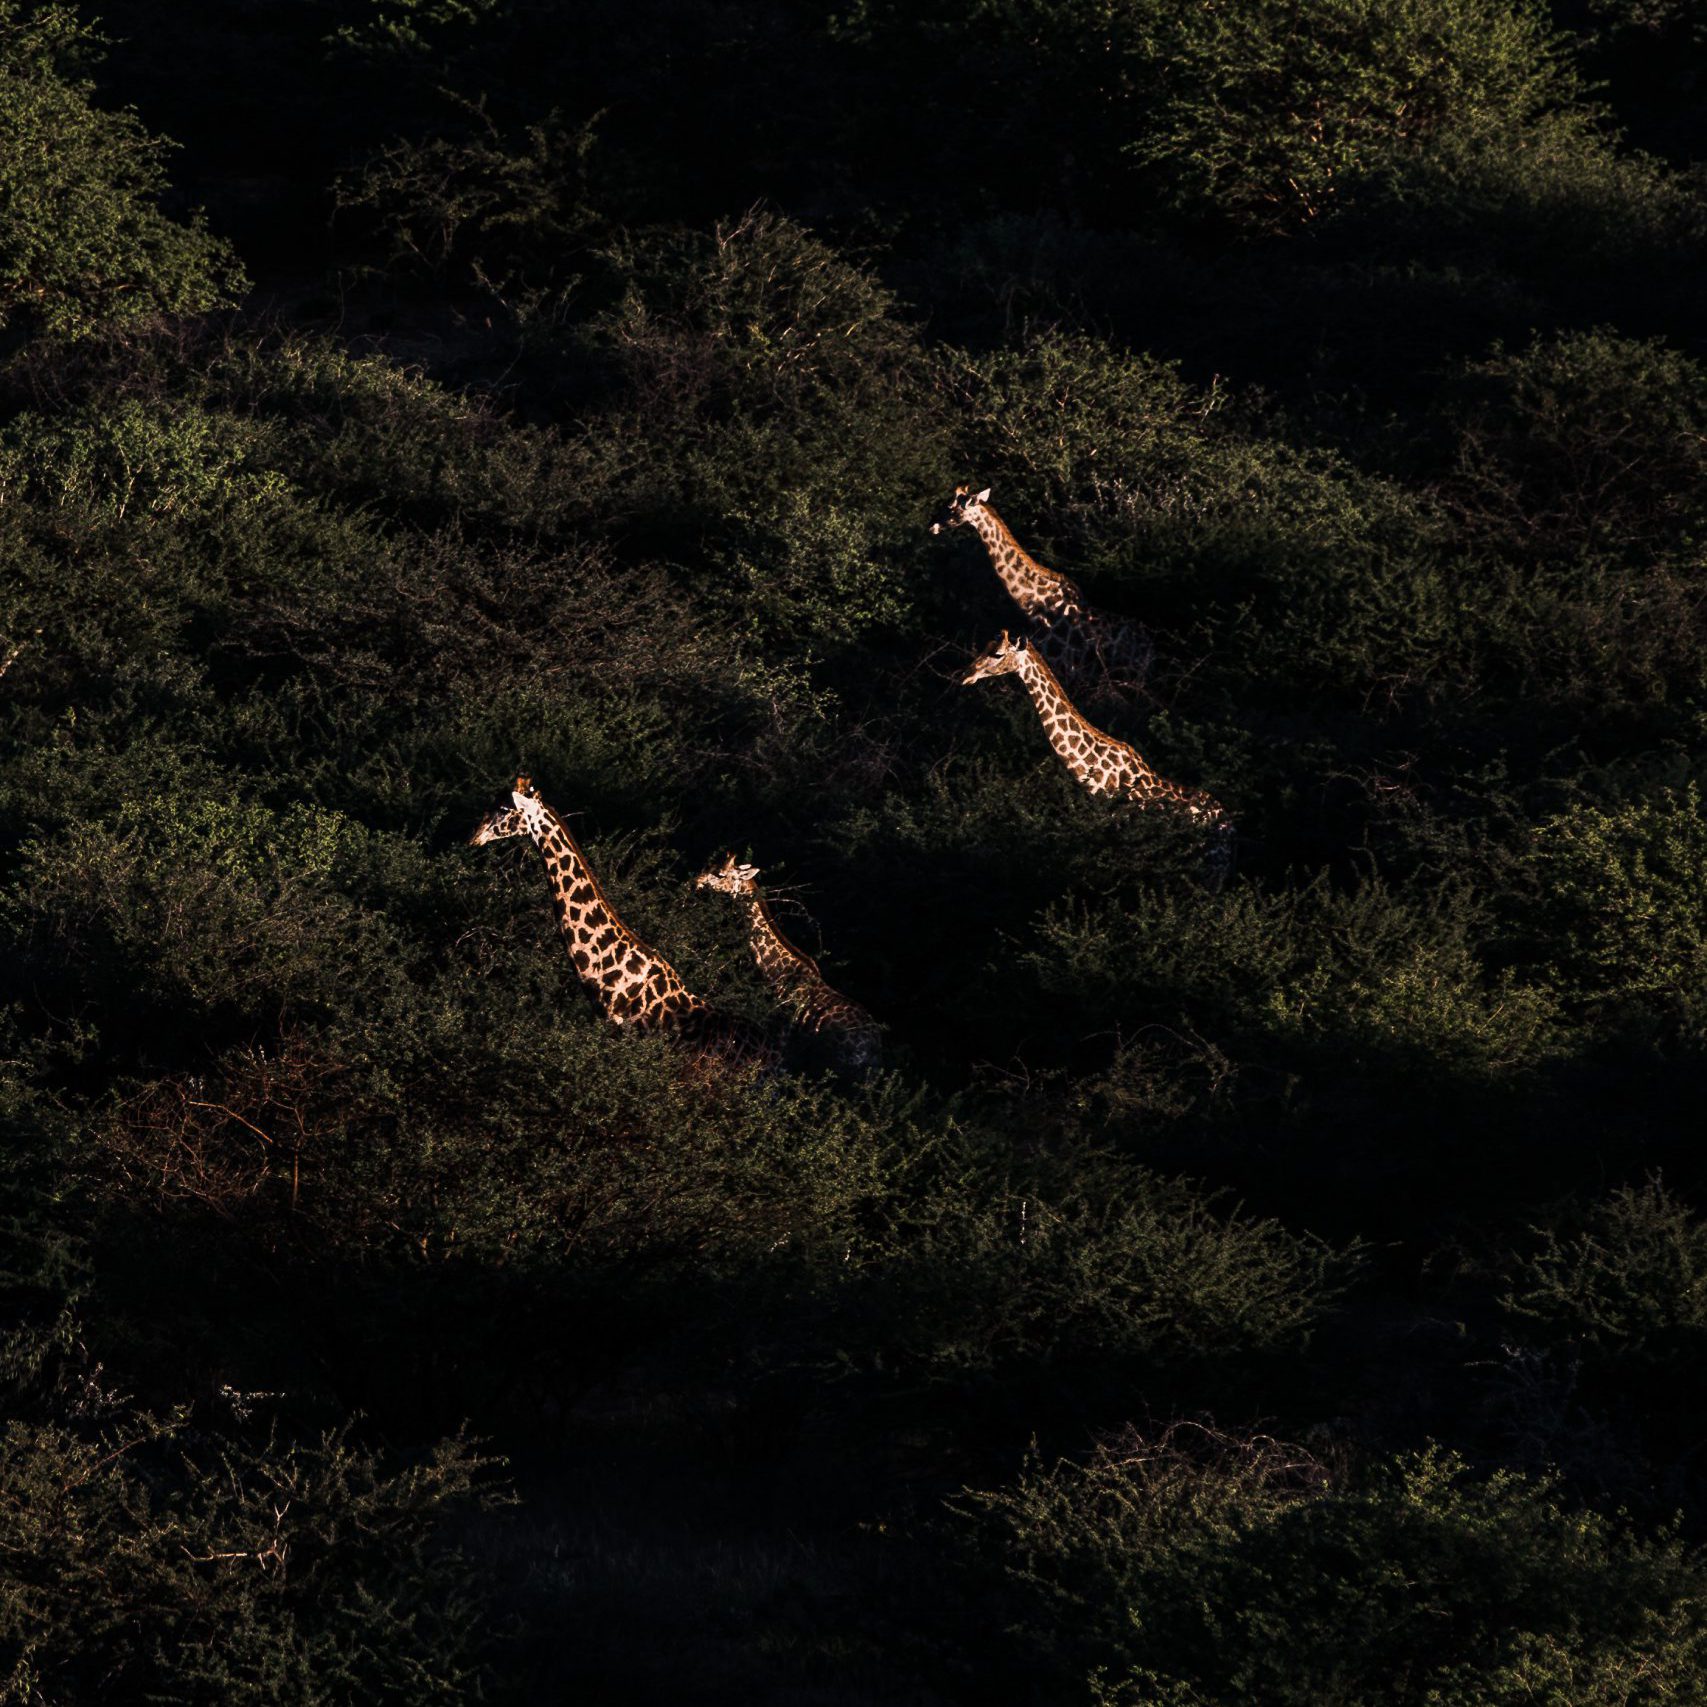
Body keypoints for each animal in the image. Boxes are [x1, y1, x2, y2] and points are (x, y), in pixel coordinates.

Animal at [963, 632, 1234, 889]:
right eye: (985, 646)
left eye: (998, 654)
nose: (966, 674)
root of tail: (1228, 824)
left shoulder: (1117, 828)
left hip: (1212, 866)